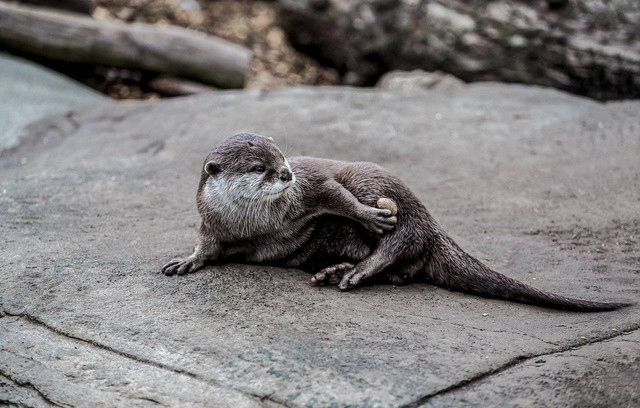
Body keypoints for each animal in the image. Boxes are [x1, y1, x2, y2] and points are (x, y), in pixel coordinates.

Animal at [163, 133, 632, 312]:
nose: (286, 174)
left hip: (380, 185)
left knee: (405, 237)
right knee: (405, 271)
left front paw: (369, 215)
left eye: (283, 158)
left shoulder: (311, 188)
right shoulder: (213, 223)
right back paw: (339, 270)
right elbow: (206, 247)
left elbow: (333, 191)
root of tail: (435, 223)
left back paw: (359, 266)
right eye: (259, 168)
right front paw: (186, 261)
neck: (253, 223)